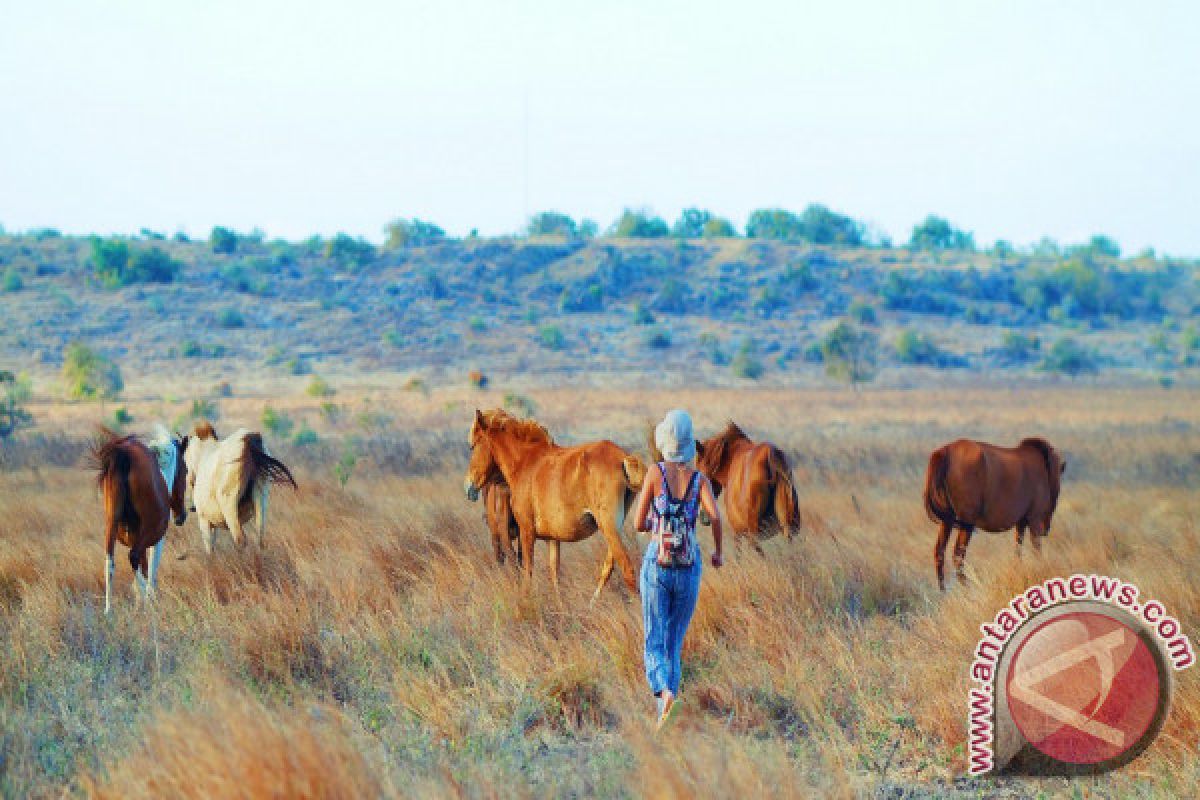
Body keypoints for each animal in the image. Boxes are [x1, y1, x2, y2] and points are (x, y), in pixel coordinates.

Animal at [88, 429, 188, 618]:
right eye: (186, 471)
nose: (181, 517)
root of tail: (123, 454)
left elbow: (143, 567)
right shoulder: (156, 539)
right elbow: (151, 570)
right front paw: (149, 599)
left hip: (111, 526)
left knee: (110, 562)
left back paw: (109, 611)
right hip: (149, 532)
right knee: (132, 557)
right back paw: (147, 601)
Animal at [463, 410, 648, 597]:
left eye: (473, 446)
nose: (468, 487)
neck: (526, 462)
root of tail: (623, 457)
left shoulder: (526, 532)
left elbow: (527, 572)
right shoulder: (552, 540)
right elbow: (555, 578)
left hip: (608, 527)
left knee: (627, 569)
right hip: (614, 529)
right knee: (608, 567)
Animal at [921, 434, 1065, 592]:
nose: (1046, 529)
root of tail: (945, 452)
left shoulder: (1021, 523)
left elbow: (1018, 550)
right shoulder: (1034, 520)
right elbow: (1036, 550)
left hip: (947, 520)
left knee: (940, 552)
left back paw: (943, 590)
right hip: (966, 523)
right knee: (958, 555)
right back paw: (968, 587)